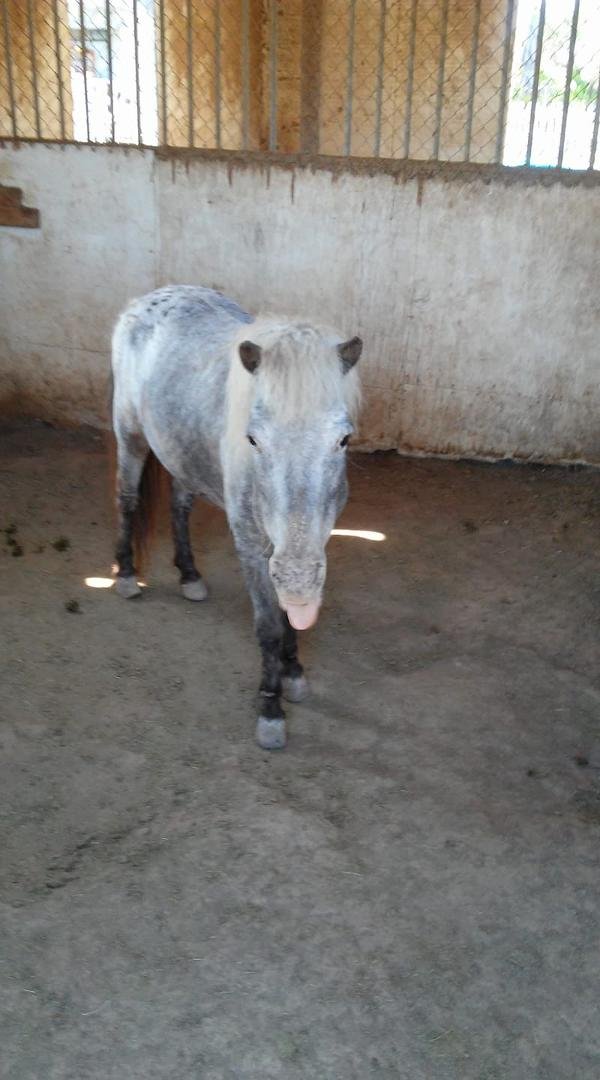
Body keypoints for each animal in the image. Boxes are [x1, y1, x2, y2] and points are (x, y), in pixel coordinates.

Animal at [110, 285, 362, 749]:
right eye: (253, 439)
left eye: (344, 439)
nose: (298, 579)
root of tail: (151, 297)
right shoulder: (251, 545)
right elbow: (269, 625)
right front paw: (270, 709)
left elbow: (289, 617)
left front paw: (294, 674)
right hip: (130, 435)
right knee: (127, 499)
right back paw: (126, 577)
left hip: (181, 454)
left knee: (179, 506)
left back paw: (190, 576)